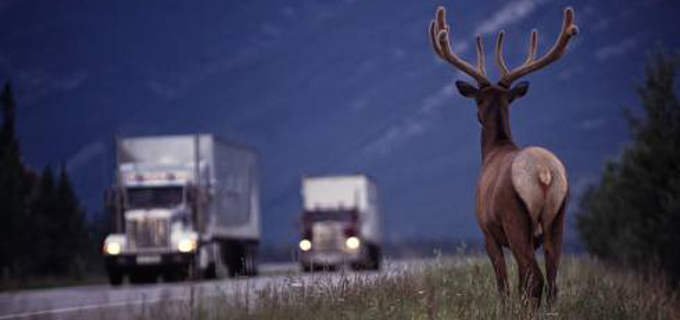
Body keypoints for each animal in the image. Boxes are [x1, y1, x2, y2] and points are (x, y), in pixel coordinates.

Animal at [428, 6, 576, 304]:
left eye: (477, 99)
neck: (494, 149)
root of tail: (544, 174)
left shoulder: (487, 232)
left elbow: (503, 284)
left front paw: (505, 307)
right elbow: (519, 282)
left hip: (514, 218)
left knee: (535, 277)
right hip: (558, 218)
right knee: (552, 280)